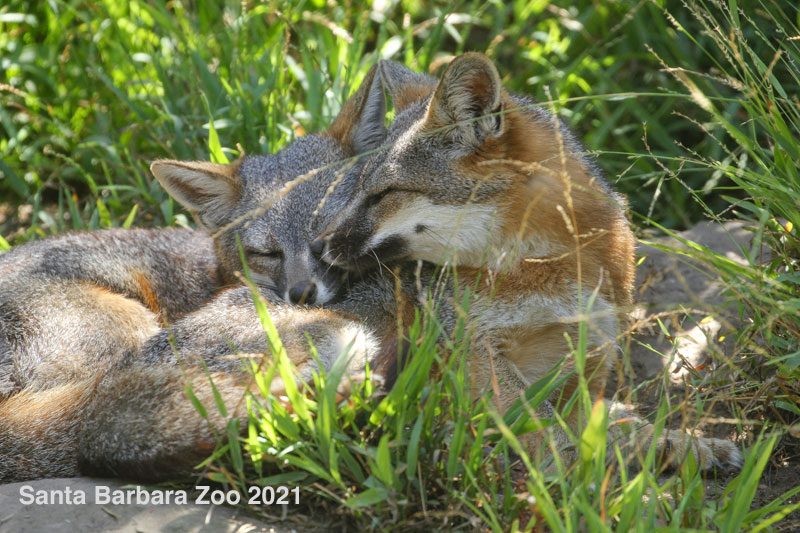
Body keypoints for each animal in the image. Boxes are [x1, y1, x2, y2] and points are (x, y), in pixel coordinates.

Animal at [317, 53, 742, 470]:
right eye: (358, 188)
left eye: (383, 194)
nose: (320, 246)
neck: (546, 267)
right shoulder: (475, 350)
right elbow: (550, 431)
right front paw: (575, 481)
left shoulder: (592, 353)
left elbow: (602, 426)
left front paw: (679, 444)